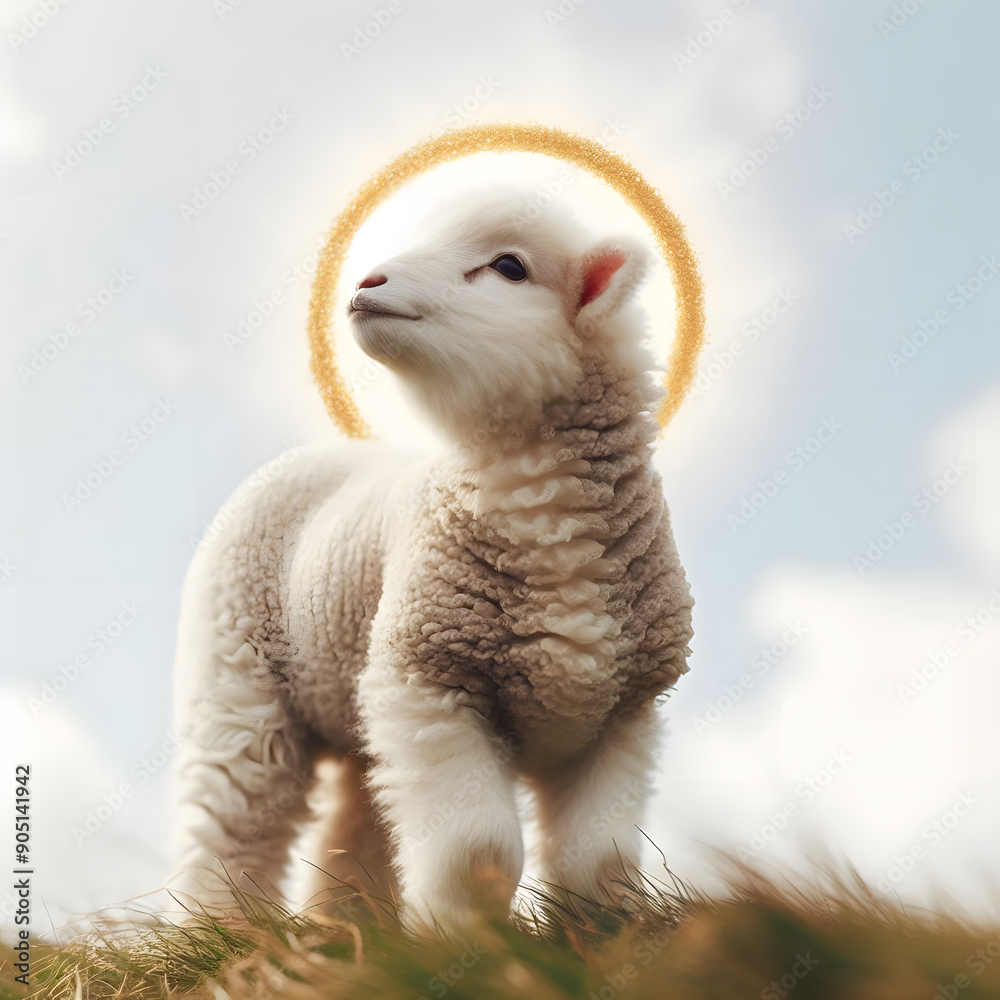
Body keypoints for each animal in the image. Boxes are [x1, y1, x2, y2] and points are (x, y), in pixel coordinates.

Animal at [168, 186, 694, 937]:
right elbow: (480, 849)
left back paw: (352, 931)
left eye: (508, 266)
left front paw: (597, 941)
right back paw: (225, 937)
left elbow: (600, 861)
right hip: (241, 675)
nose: (366, 283)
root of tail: (313, 452)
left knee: (359, 821)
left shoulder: (622, 714)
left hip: (360, 701)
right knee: (235, 823)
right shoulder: (430, 680)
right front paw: (461, 939)